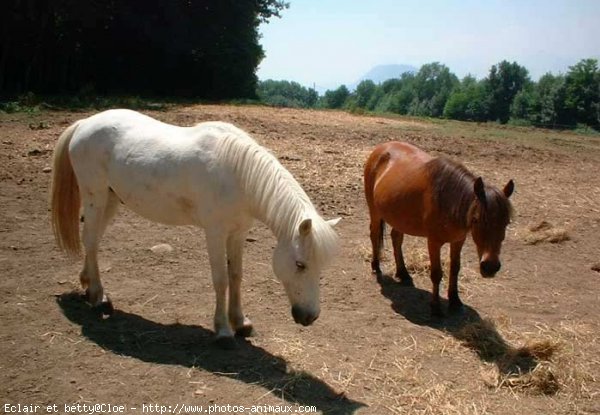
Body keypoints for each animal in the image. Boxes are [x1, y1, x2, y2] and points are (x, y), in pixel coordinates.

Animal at [51, 109, 340, 348]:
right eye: (301, 264)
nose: (310, 317)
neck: (238, 175)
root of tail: (84, 123)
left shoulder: (238, 233)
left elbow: (236, 276)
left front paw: (241, 323)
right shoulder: (215, 233)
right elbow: (221, 279)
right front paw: (223, 331)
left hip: (111, 200)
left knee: (93, 241)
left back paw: (89, 286)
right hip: (96, 196)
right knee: (90, 240)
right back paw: (97, 296)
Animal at [364, 141, 512, 316]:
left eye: (507, 222)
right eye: (476, 220)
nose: (490, 267)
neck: (449, 200)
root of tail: (381, 148)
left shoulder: (458, 241)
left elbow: (455, 269)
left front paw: (455, 301)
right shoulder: (434, 242)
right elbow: (436, 274)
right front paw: (435, 308)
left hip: (398, 217)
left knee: (396, 239)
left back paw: (403, 274)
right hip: (374, 211)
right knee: (374, 235)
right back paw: (376, 267)